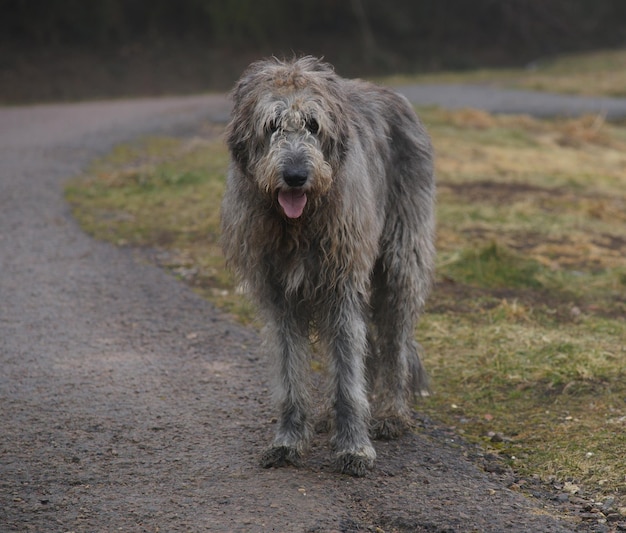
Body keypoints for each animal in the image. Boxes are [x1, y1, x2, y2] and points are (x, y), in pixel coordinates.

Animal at [221, 56, 434, 476]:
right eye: (272, 125)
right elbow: (290, 373)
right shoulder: (279, 296)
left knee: (395, 341)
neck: (298, 226)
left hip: (401, 260)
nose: (295, 176)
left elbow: (348, 377)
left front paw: (354, 447)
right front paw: (288, 440)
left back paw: (392, 413)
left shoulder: (342, 285)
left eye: (314, 125)